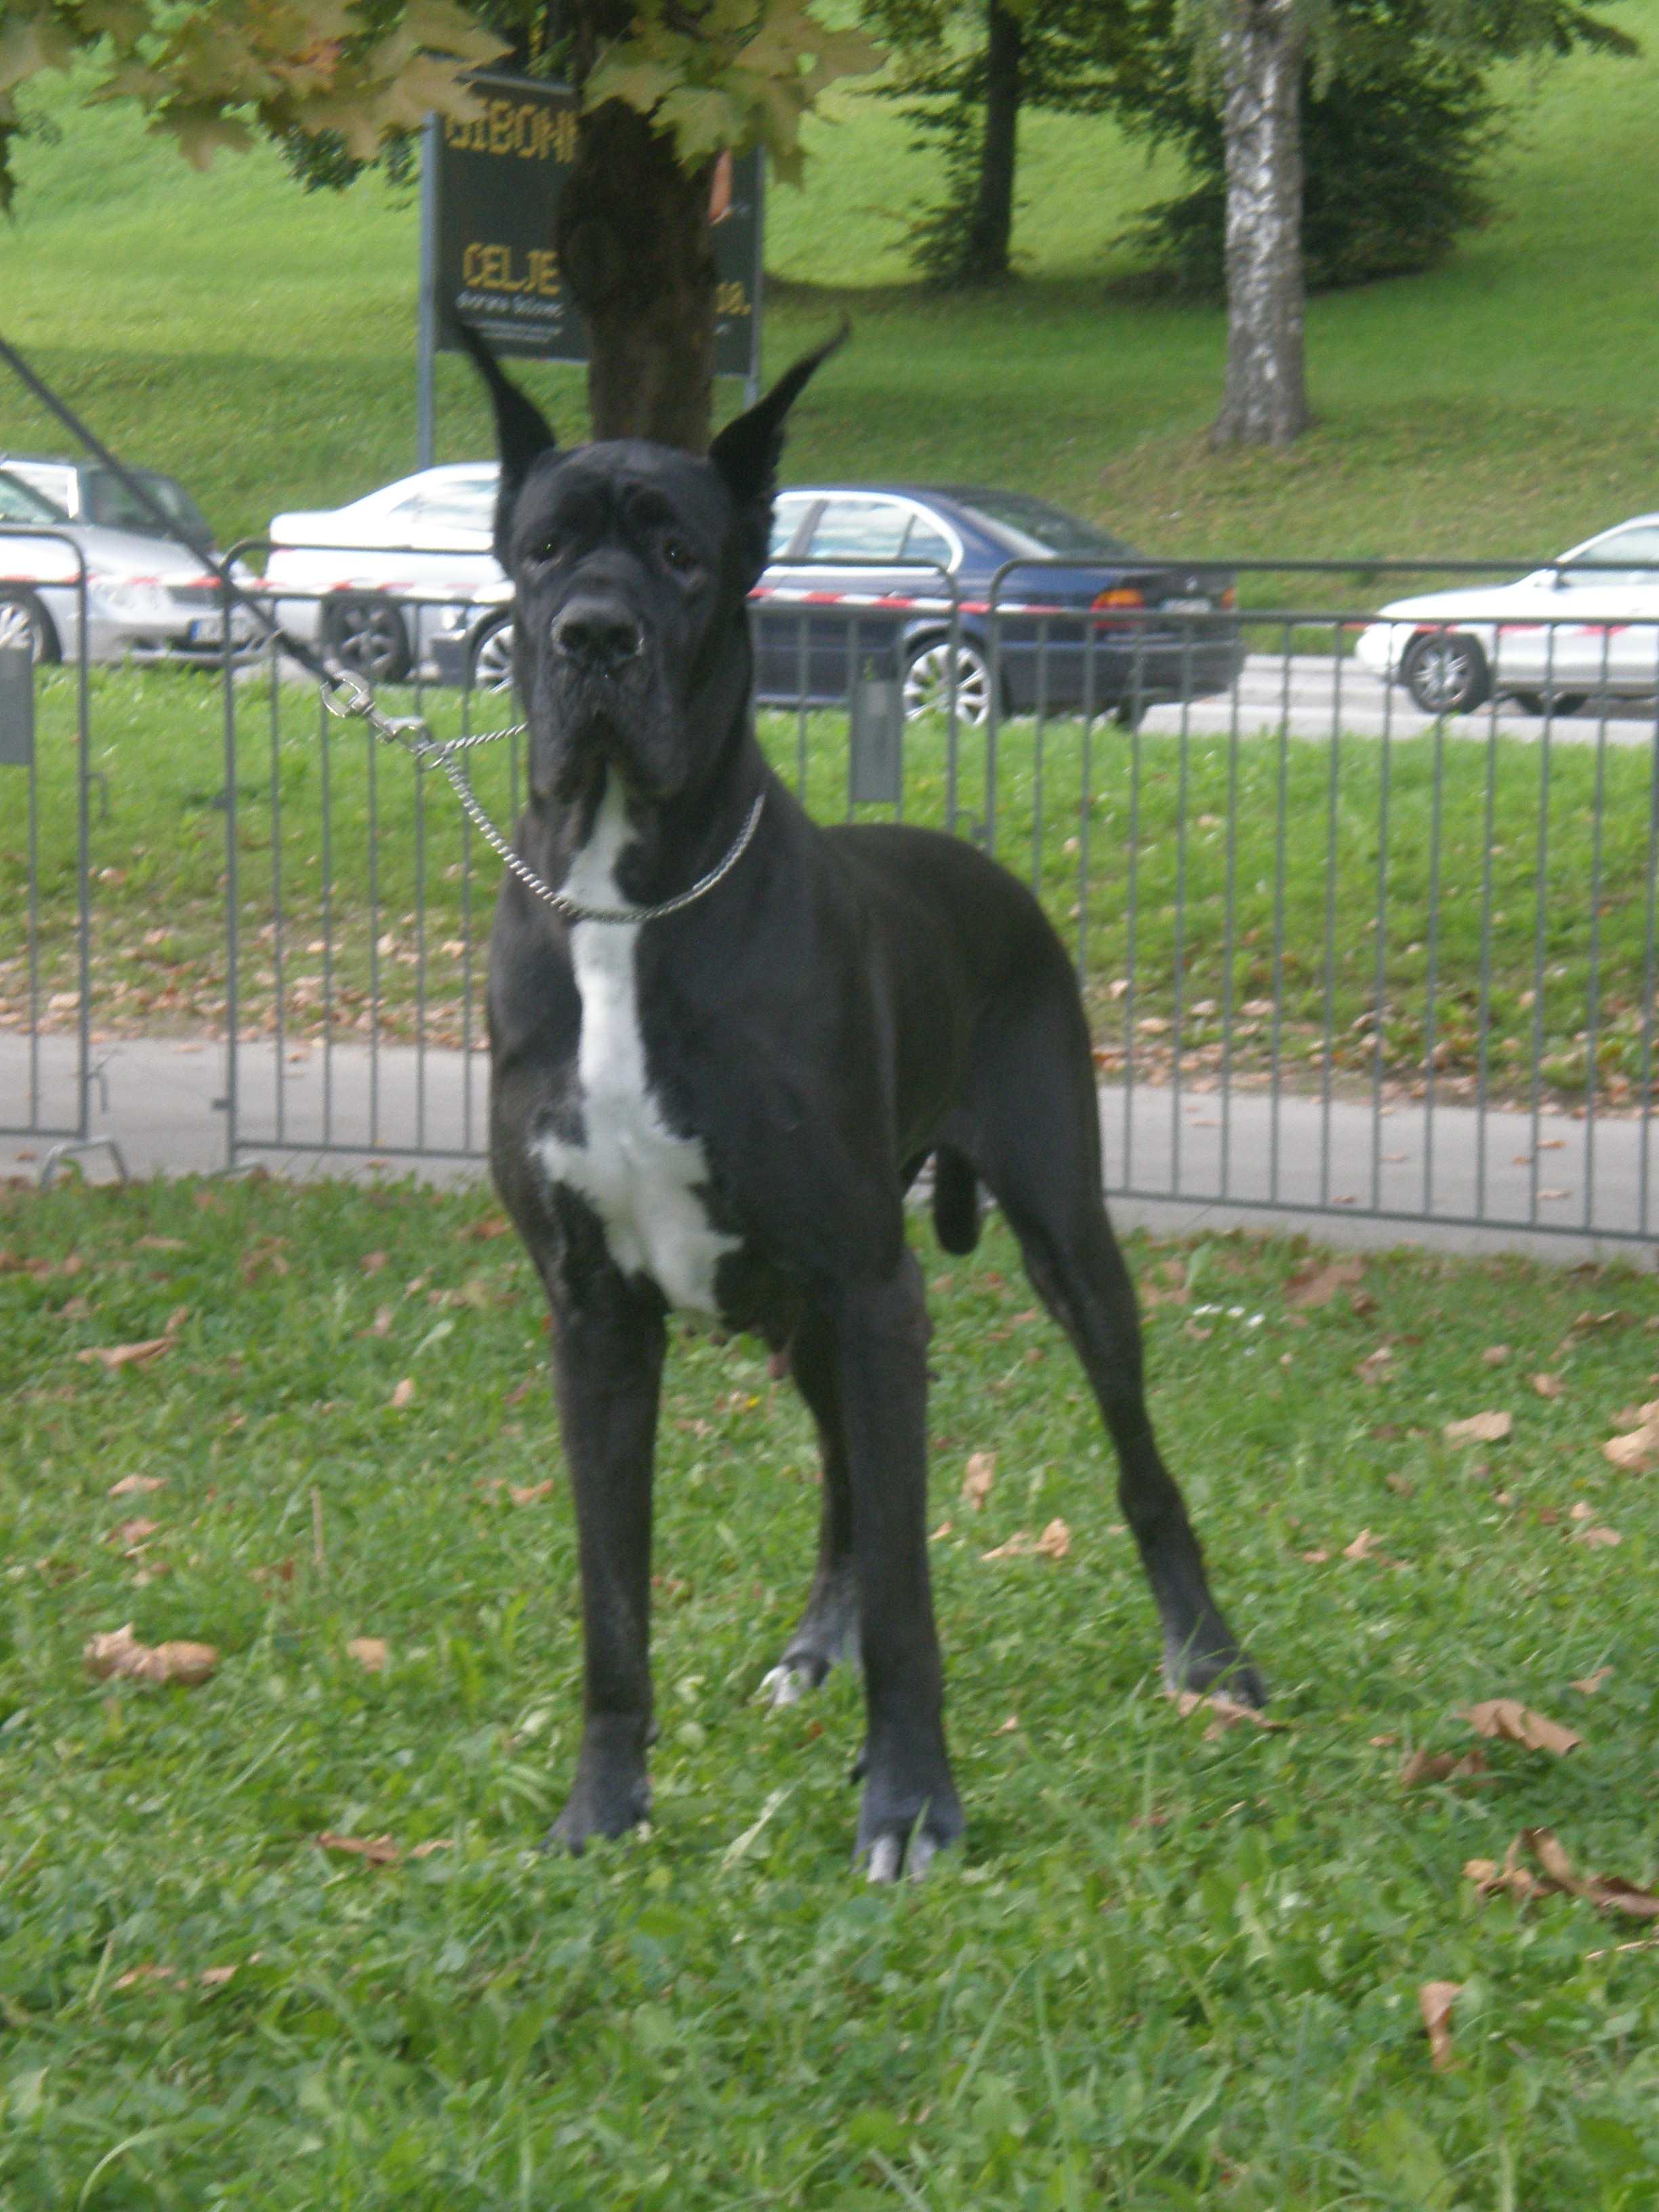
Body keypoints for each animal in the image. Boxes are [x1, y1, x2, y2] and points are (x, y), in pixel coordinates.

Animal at [460, 323, 1263, 1880]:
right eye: (540, 552)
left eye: (681, 554)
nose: (594, 637)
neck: (626, 894)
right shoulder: (595, 1318)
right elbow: (612, 1605)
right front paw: (603, 1810)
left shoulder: (878, 1293)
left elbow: (910, 1591)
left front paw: (909, 1808)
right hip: (806, 1310)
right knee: (840, 1482)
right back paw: (807, 1646)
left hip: (1051, 1239)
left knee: (1135, 1461)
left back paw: (1206, 1655)